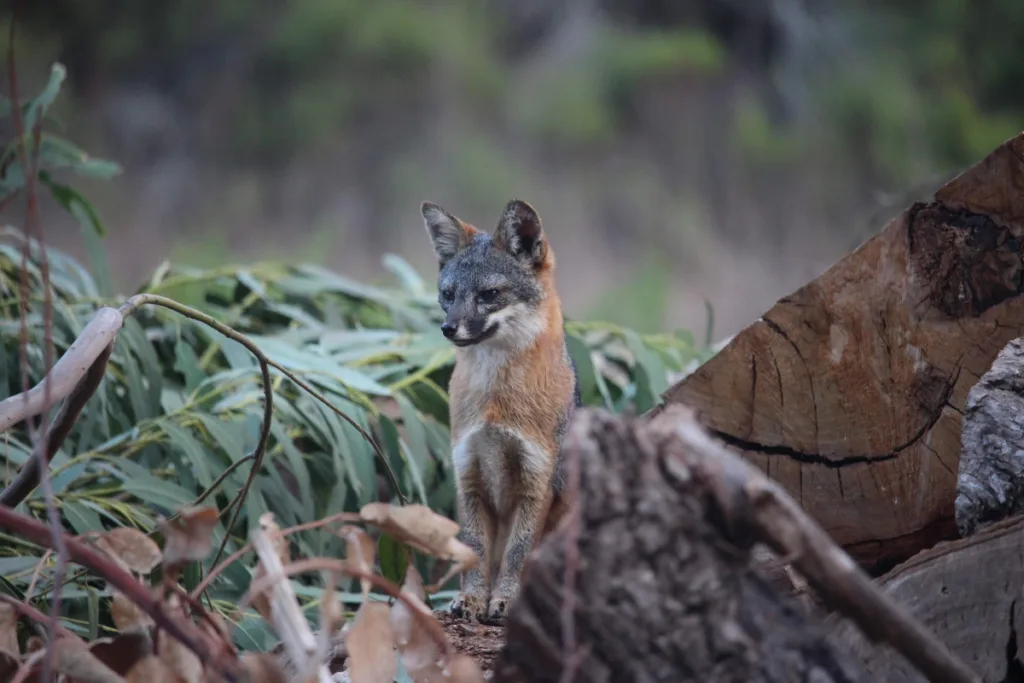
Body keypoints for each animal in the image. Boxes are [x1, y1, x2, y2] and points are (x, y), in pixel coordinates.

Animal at [419, 198, 585, 626]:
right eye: (448, 294)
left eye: (489, 293)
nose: (448, 328)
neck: (496, 401)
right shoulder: (469, 474)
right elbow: (475, 551)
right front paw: (471, 599)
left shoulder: (537, 480)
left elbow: (518, 553)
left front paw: (506, 601)